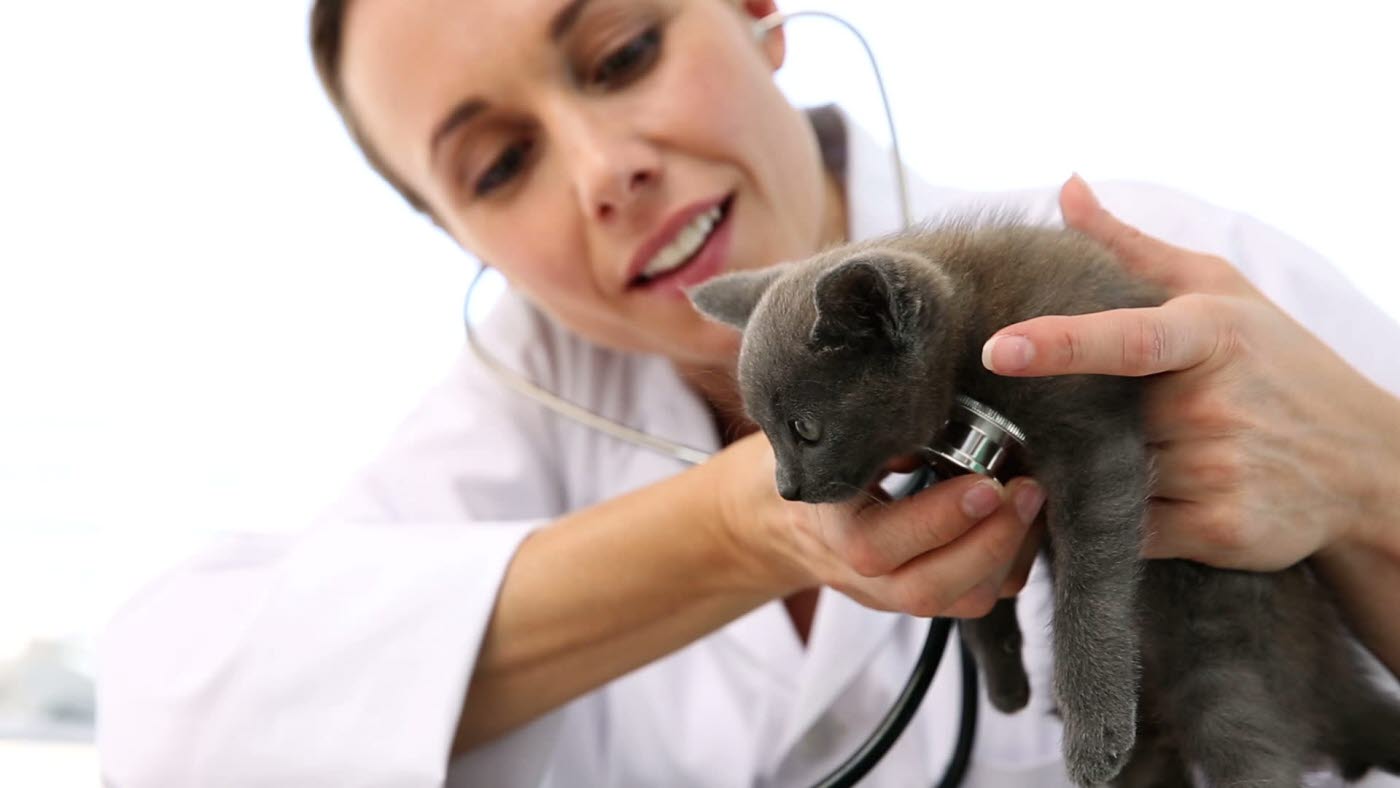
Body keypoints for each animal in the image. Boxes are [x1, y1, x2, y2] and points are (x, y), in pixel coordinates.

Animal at [688, 216, 1400, 788]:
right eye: (764, 430)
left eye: (805, 429)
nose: (787, 488)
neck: (977, 315)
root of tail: (1341, 686)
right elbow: (980, 605)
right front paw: (1006, 680)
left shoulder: (1093, 432)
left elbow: (1090, 584)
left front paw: (1096, 727)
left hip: (1232, 658)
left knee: (1247, 742)